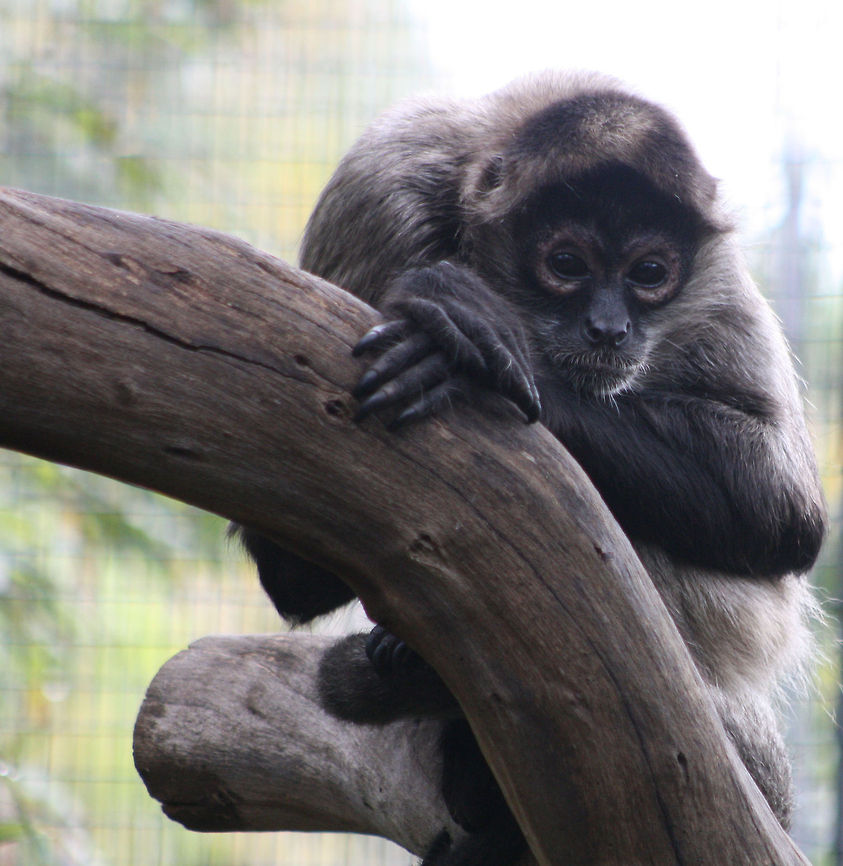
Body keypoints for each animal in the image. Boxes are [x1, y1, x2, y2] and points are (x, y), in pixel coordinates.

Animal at [233, 71, 827, 866]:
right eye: (567, 265)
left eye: (649, 273)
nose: (609, 328)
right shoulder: (380, 180)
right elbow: (293, 578)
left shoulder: (713, 269)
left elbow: (786, 514)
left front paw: (481, 337)